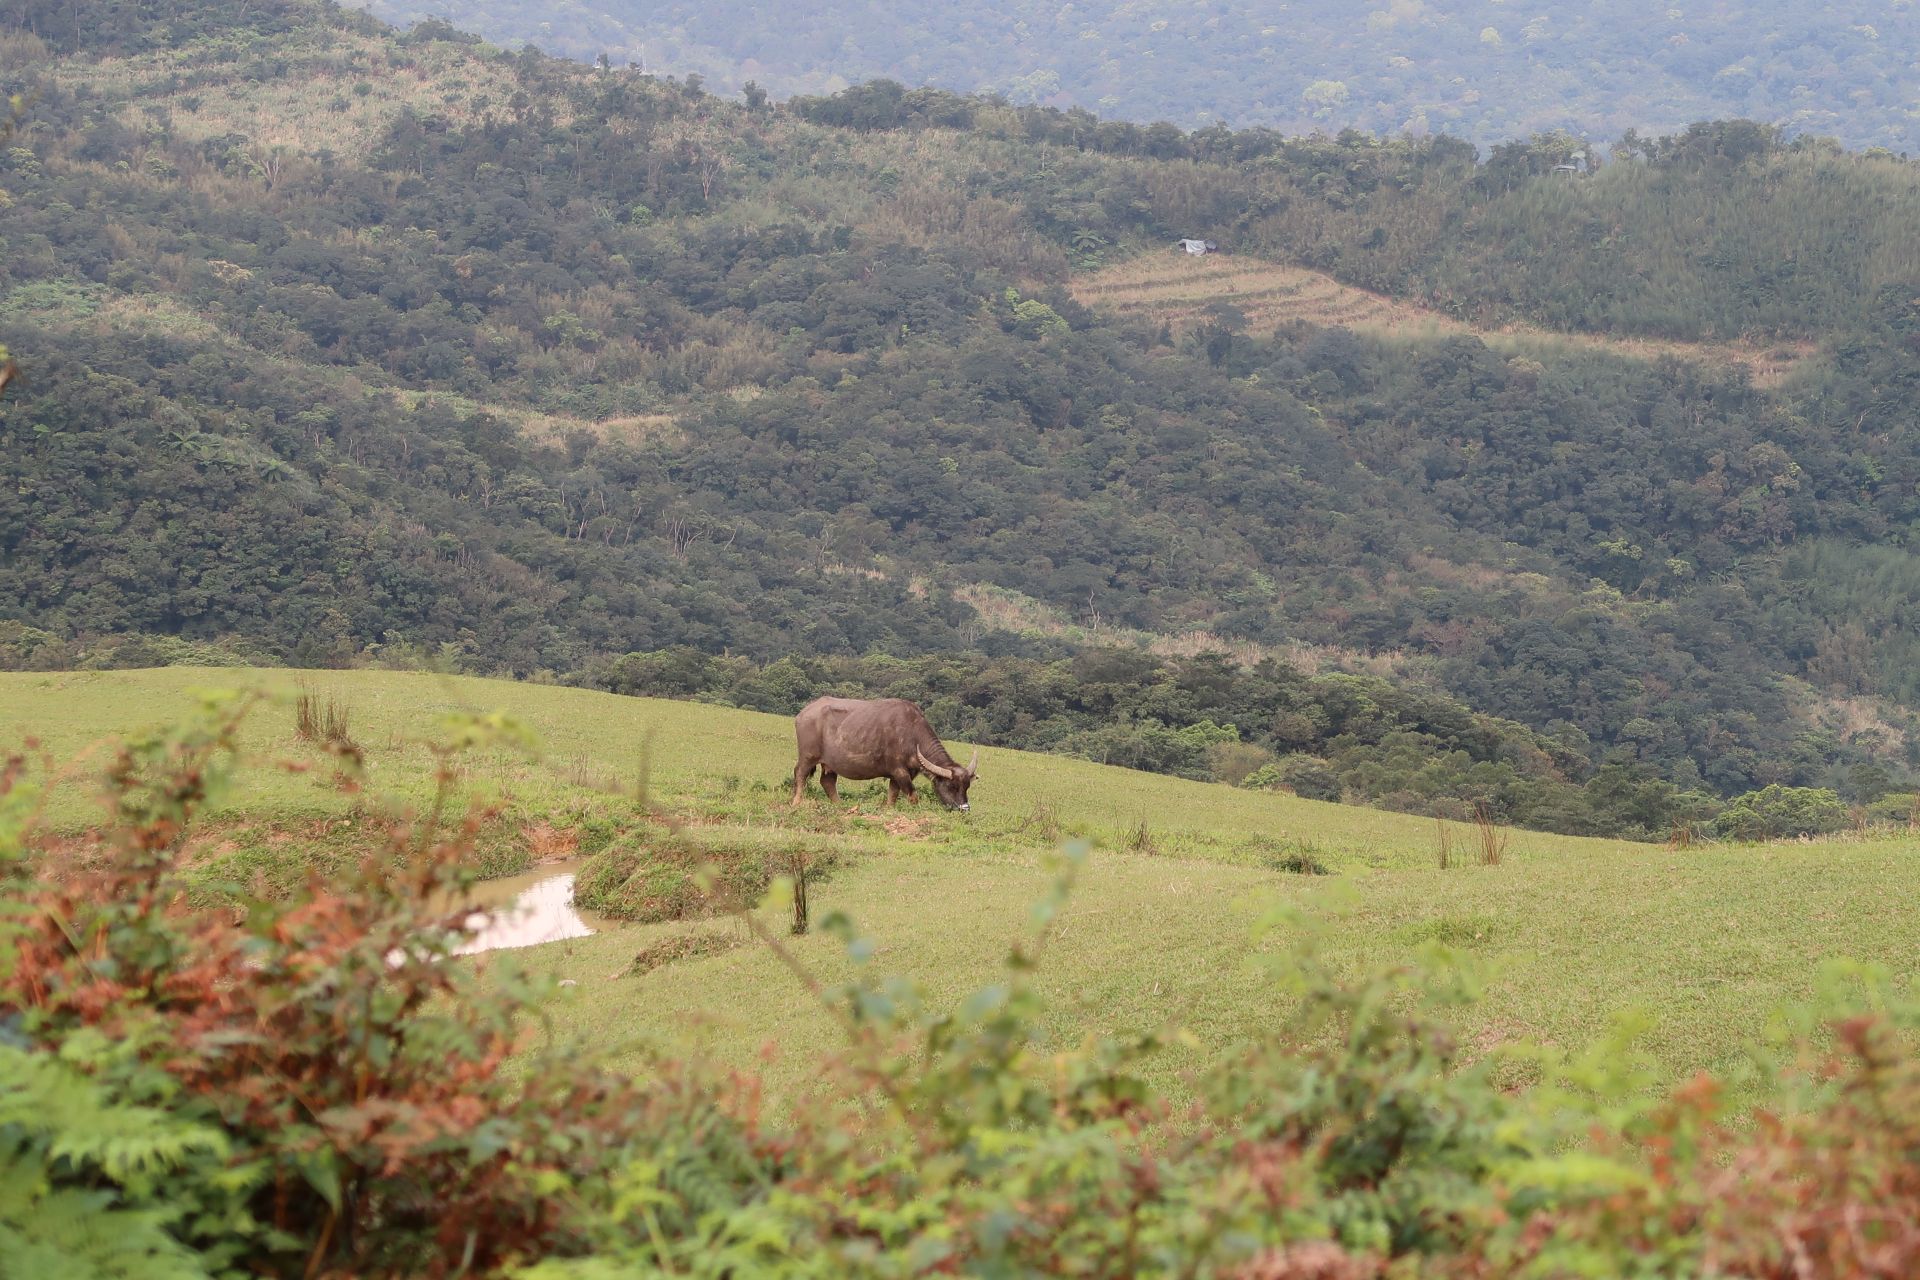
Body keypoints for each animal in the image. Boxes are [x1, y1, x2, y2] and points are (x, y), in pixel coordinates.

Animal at [790, 696, 978, 810]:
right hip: (808, 756)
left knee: (827, 781)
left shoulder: (900, 775)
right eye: (951, 786)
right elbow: (913, 796)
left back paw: (840, 805)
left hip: (830, 764)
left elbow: (892, 795)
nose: (964, 809)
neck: (911, 734)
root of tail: (803, 713)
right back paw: (796, 802)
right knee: (800, 773)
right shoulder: (900, 772)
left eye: (966, 786)